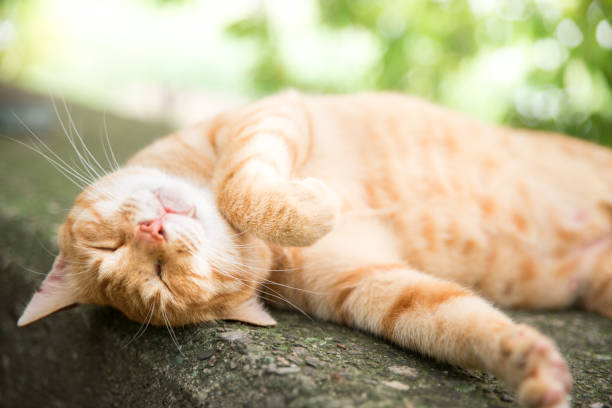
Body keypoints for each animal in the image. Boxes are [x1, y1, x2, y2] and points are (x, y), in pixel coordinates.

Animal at [15, 91, 612, 406]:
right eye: (161, 276)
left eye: (109, 245)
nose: (152, 233)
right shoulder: (375, 288)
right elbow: (458, 323)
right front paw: (531, 369)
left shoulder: (273, 115)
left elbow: (242, 187)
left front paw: (310, 204)